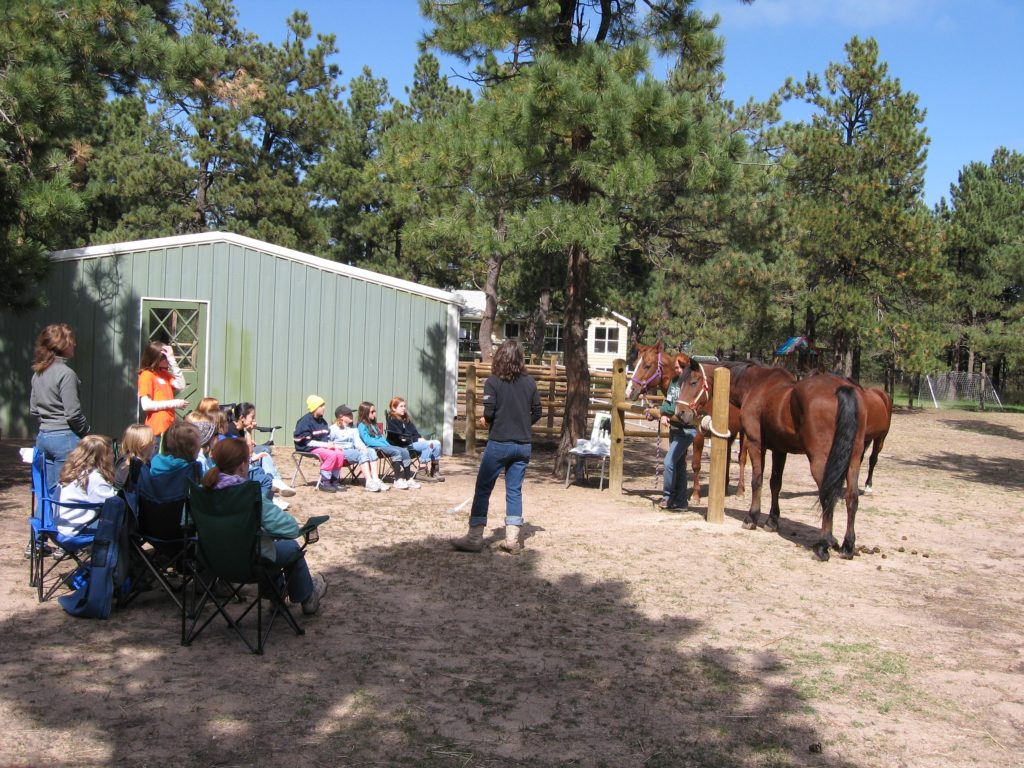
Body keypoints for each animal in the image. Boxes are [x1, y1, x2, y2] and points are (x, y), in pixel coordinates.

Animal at [622, 342, 753, 499]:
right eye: (635, 364)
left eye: (647, 365)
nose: (629, 391)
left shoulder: (699, 435)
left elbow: (696, 464)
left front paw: (695, 495)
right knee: (726, 457)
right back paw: (724, 488)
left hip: (743, 434)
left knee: (741, 459)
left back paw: (740, 491)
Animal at [679, 360, 864, 561]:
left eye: (693, 382)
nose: (680, 413)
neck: (755, 385)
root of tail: (843, 389)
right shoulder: (779, 450)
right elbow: (775, 483)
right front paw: (772, 521)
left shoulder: (756, 444)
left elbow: (757, 480)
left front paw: (751, 518)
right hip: (853, 461)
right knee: (852, 498)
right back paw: (847, 546)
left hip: (821, 462)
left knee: (827, 496)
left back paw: (823, 546)